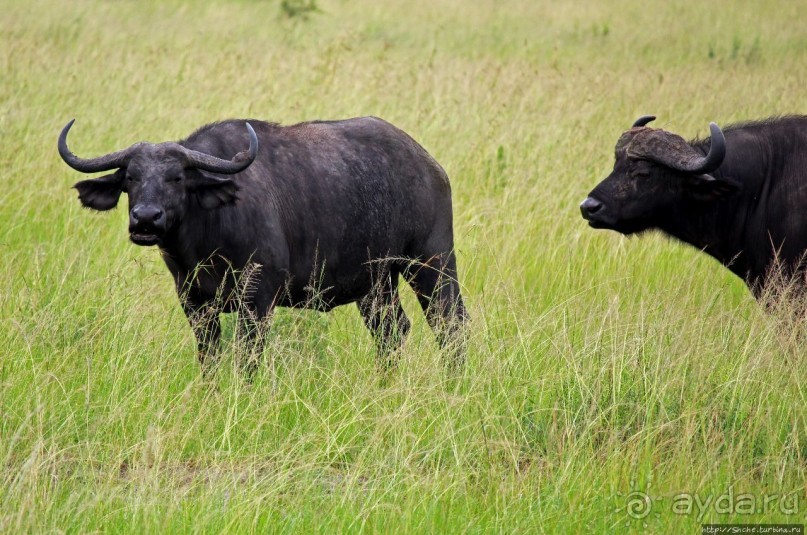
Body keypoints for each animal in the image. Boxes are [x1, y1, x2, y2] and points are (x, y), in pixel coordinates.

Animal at [58, 117, 468, 376]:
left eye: (177, 177)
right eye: (130, 177)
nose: (146, 219)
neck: (206, 243)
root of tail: (430, 165)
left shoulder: (257, 301)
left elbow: (247, 359)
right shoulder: (194, 304)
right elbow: (209, 358)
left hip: (431, 263)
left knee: (451, 325)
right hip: (376, 284)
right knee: (392, 331)